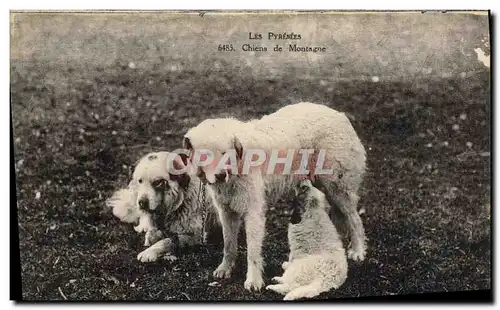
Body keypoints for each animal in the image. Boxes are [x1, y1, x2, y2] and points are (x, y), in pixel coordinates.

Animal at [182, 101, 366, 290]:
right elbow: (228, 244)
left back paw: (358, 250)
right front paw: (225, 268)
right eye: (205, 155)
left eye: (226, 153)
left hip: (338, 189)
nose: (220, 175)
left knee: (354, 219)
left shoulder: (254, 213)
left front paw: (253, 280)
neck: (237, 167)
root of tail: (339, 114)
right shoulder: (226, 212)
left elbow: (252, 251)